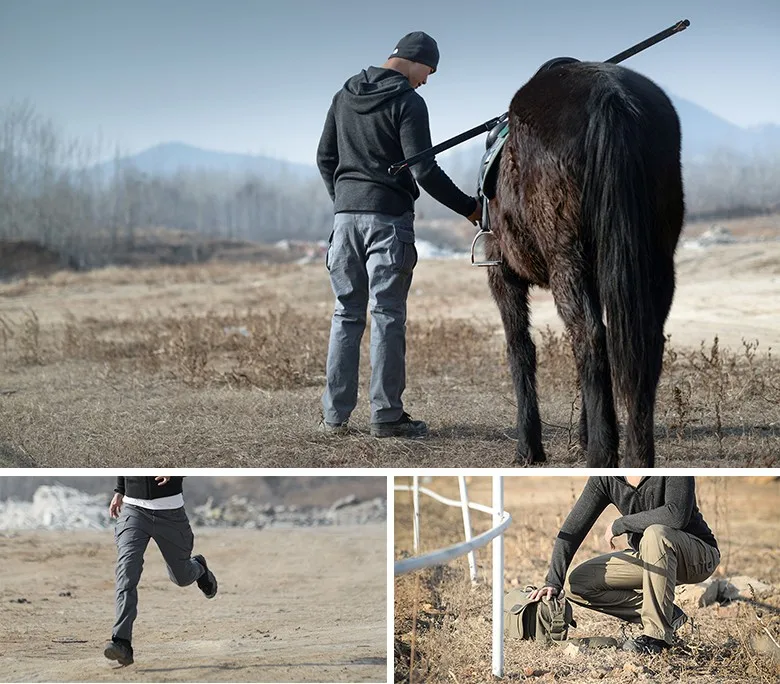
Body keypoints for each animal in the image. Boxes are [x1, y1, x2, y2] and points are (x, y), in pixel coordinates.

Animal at [488, 61, 684, 468]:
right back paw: (636, 454)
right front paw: (581, 434)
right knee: (643, 341)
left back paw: (601, 453)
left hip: (568, 260)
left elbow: (520, 349)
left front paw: (528, 447)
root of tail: (609, 97)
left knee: (589, 337)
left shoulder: (502, 274)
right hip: (657, 262)